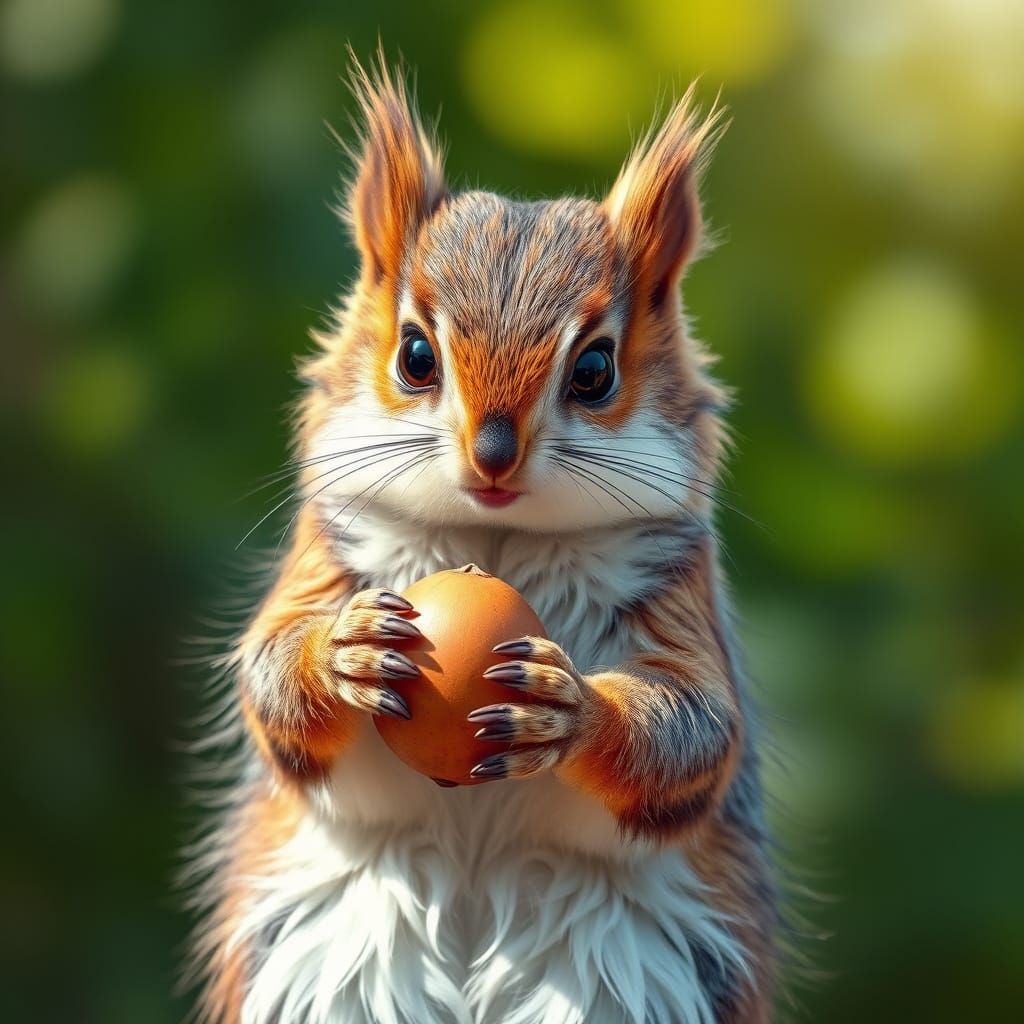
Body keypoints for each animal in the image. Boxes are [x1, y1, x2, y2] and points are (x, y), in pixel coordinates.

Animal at [188, 57, 778, 1024]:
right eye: (415, 355)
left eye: (595, 369)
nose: (492, 455)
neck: (491, 539)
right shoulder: (323, 556)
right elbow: (269, 681)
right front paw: (341, 652)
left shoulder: (679, 591)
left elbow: (693, 730)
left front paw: (567, 708)